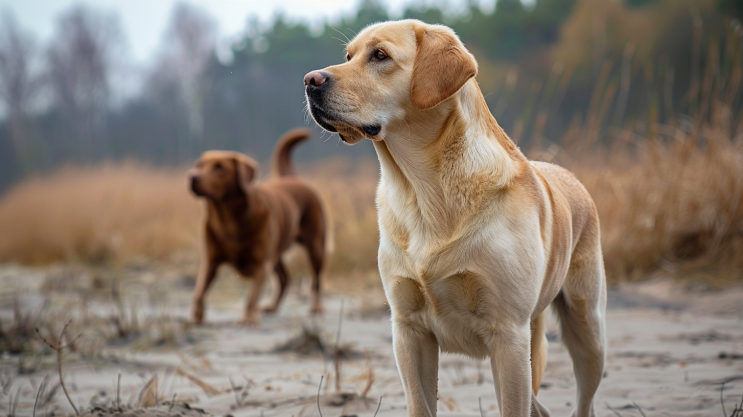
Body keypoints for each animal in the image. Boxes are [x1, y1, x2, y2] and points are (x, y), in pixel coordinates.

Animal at [189, 128, 326, 324]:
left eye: (220, 167)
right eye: (199, 165)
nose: (192, 176)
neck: (227, 220)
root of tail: (292, 178)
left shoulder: (260, 264)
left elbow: (252, 296)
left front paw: (248, 318)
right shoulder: (210, 261)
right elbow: (199, 291)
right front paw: (197, 315)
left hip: (315, 246)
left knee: (316, 281)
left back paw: (317, 307)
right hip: (276, 252)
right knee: (285, 278)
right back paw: (272, 307)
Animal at [306, 20, 608, 417]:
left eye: (380, 55)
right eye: (348, 56)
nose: (310, 80)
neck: (423, 191)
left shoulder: (508, 333)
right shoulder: (408, 331)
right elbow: (421, 405)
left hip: (587, 329)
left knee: (582, 401)